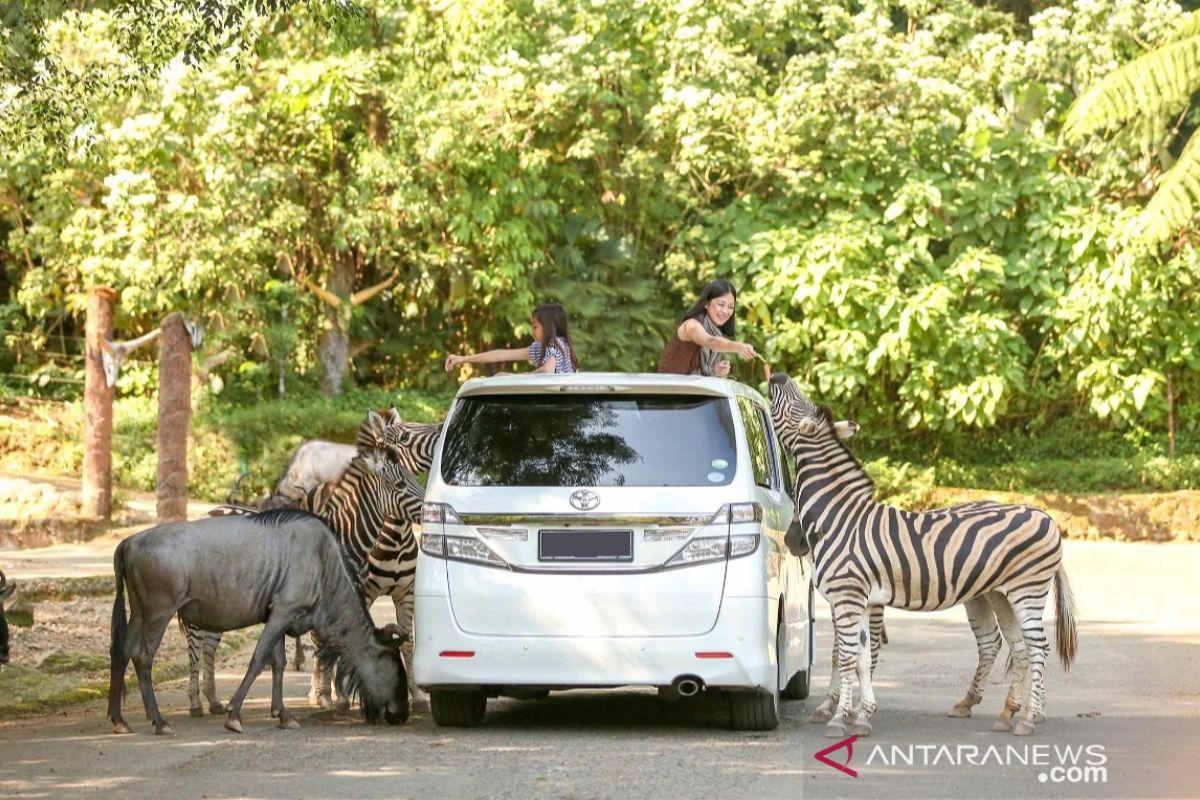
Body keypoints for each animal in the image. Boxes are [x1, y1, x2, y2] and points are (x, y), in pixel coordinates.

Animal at [768, 376, 1080, 738]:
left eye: (796, 405)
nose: (776, 376)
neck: (838, 517)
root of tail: (1048, 517)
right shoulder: (859, 600)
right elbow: (859, 657)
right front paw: (861, 716)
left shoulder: (847, 596)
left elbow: (845, 657)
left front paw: (838, 719)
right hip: (1001, 595)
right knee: (1018, 648)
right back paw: (1006, 715)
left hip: (1027, 591)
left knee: (1038, 648)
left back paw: (1029, 717)